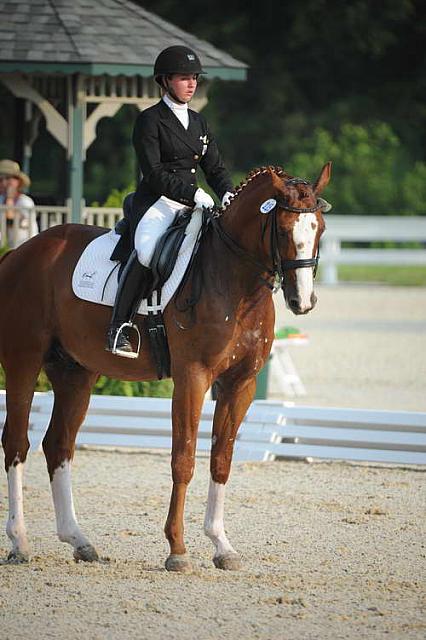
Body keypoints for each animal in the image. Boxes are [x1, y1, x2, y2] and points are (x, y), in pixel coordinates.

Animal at [0, 162, 332, 572]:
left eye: (320, 228)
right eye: (284, 230)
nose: (303, 301)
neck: (234, 282)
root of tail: (19, 253)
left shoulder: (241, 384)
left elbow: (221, 460)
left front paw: (222, 546)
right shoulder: (193, 377)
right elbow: (183, 459)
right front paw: (177, 549)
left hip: (74, 372)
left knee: (58, 445)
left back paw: (79, 541)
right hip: (23, 359)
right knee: (17, 442)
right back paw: (20, 542)